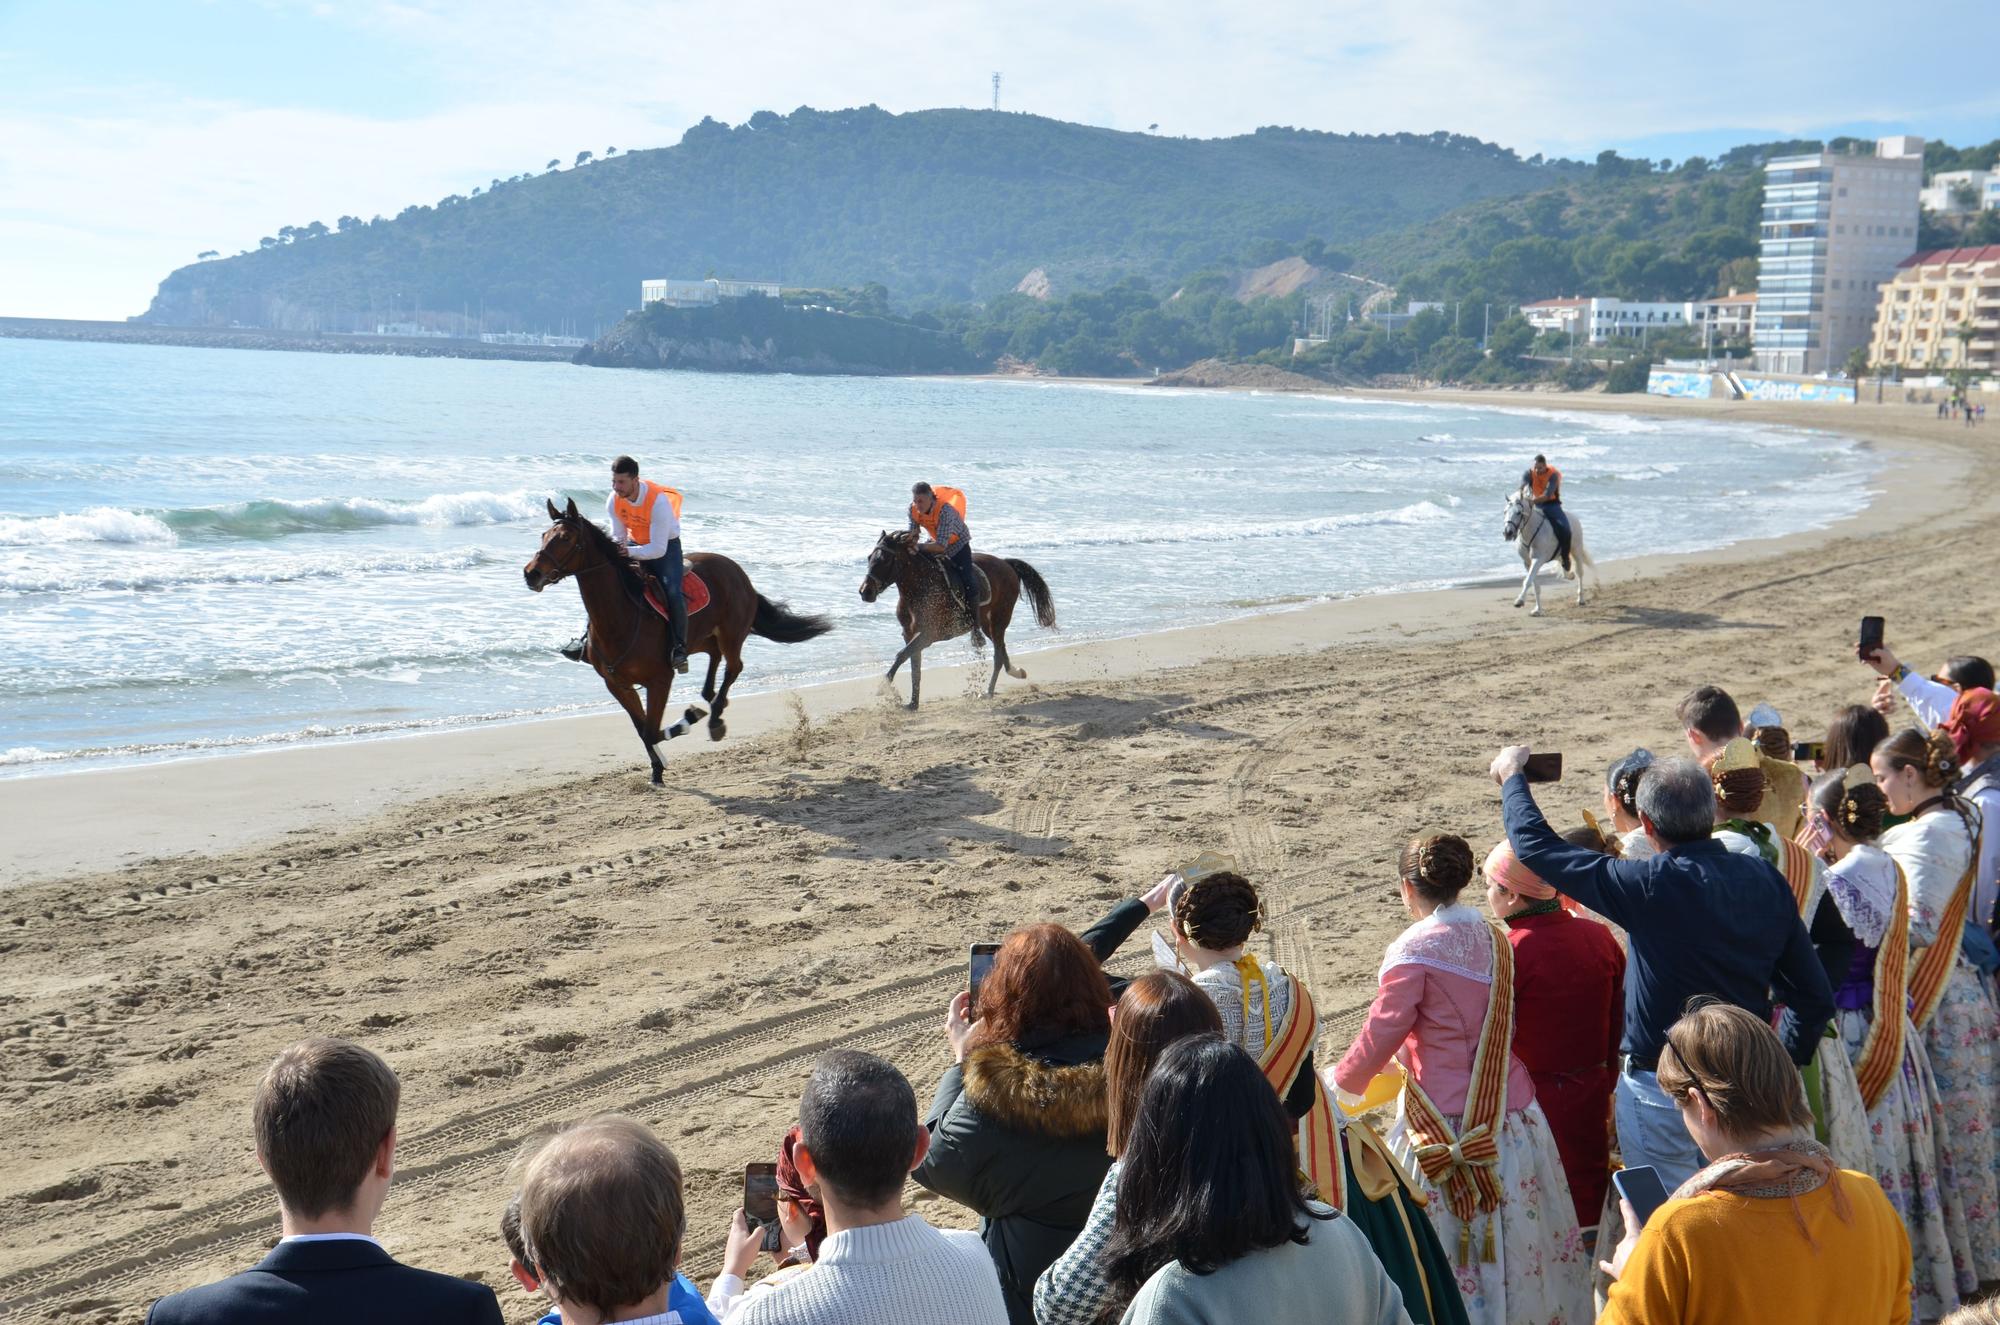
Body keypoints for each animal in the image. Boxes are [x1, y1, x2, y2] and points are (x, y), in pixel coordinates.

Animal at [524, 498, 828, 788]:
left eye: (565, 538)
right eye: (543, 535)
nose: (531, 573)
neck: (619, 617)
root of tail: (737, 571)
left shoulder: (660, 680)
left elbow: (652, 730)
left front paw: (688, 721)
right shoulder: (617, 684)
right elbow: (643, 729)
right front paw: (657, 769)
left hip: (731, 634)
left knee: (734, 667)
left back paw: (715, 716)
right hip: (702, 637)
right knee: (715, 656)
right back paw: (711, 696)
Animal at [852, 532, 1056, 712]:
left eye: (885, 560)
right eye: (869, 557)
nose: (865, 591)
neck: (919, 589)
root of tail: (1006, 563)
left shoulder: (929, 635)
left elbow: (901, 655)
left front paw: (883, 687)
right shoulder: (909, 634)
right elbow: (914, 666)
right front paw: (913, 704)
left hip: (1001, 617)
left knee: (998, 654)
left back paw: (988, 692)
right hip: (986, 623)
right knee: (1001, 649)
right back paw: (1016, 672)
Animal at [1504, 488, 1592, 616]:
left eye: (1519, 513)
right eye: (1505, 512)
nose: (1507, 532)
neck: (1531, 531)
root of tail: (1574, 518)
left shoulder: (1538, 560)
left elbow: (1528, 580)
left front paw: (1519, 601)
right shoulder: (1527, 562)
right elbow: (1535, 584)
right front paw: (1537, 610)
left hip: (1577, 550)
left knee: (1579, 573)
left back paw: (1581, 599)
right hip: (1559, 554)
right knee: (1564, 563)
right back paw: (1569, 575)